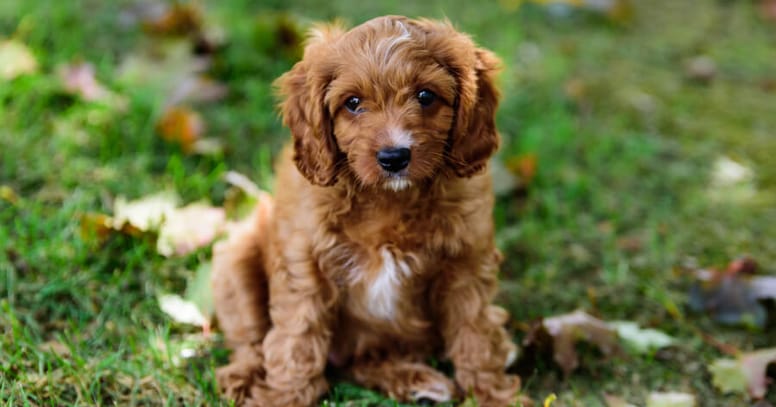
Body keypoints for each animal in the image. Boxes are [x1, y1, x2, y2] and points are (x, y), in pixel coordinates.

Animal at [212, 15, 520, 407]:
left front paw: (494, 395)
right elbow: (297, 338)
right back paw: (242, 376)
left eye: (425, 96)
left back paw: (416, 379)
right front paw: (282, 397)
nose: (394, 157)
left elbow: (476, 333)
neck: (388, 200)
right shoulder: (305, 264)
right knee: (250, 339)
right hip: (235, 259)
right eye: (353, 103)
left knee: (360, 362)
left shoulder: (467, 264)